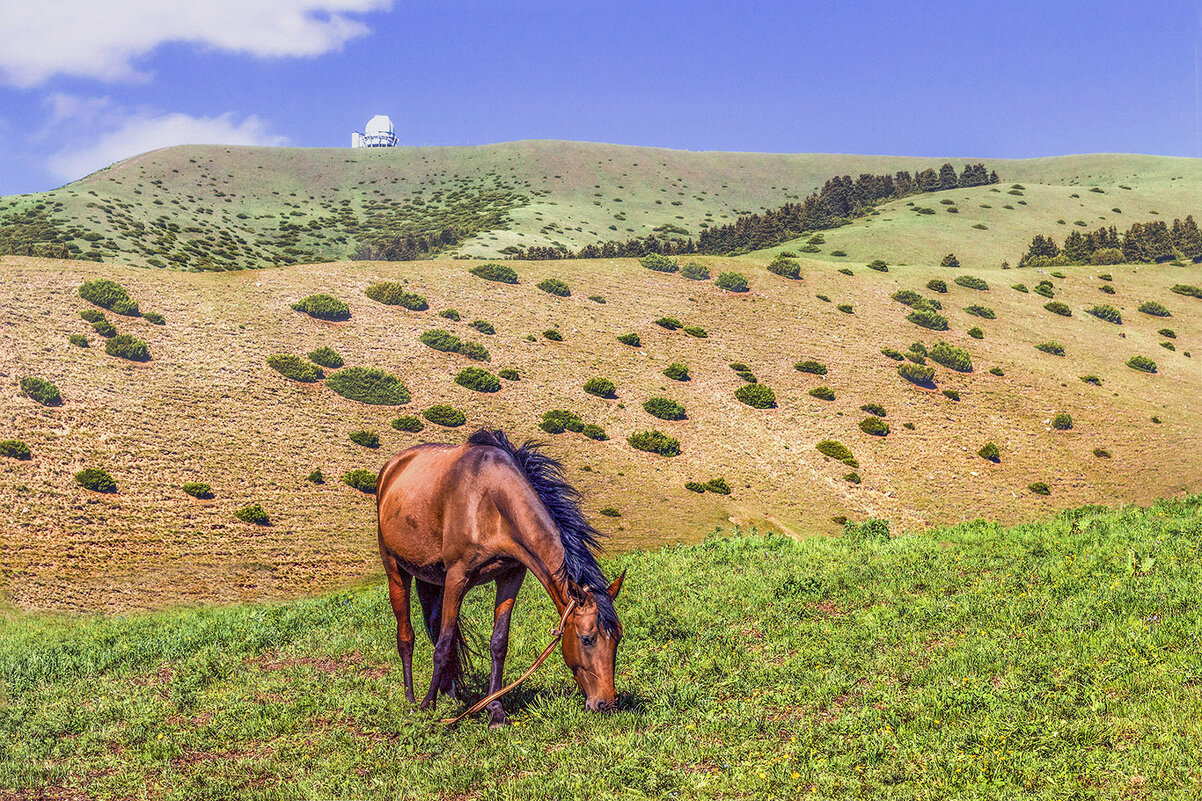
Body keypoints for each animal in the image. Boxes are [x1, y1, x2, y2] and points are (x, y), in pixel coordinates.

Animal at [377, 428, 629, 726]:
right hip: (396, 570)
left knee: (436, 627)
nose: (606, 703)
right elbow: (444, 644)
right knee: (407, 636)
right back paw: (412, 700)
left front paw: (495, 710)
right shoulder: (457, 577)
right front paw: (429, 705)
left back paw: (450, 695)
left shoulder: (511, 576)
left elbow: (497, 643)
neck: (490, 503)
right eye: (587, 639)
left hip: (432, 580)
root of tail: (391, 468)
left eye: (617, 638)